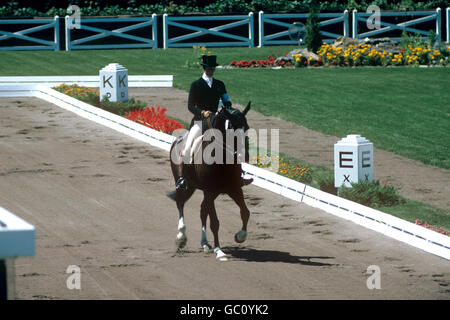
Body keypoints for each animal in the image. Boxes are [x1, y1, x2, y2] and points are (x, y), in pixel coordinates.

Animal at [170, 102, 251, 260]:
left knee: (202, 210)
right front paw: (219, 251)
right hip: (183, 183)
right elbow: (215, 222)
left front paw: (240, 236)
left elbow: (245, 212)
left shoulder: (234, 188)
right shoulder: (210, 190)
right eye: (231, 128)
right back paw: (181, 237)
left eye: (247, 127)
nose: (244, 156)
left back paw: (205, 244)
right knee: (180, 203)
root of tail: (178, 139)